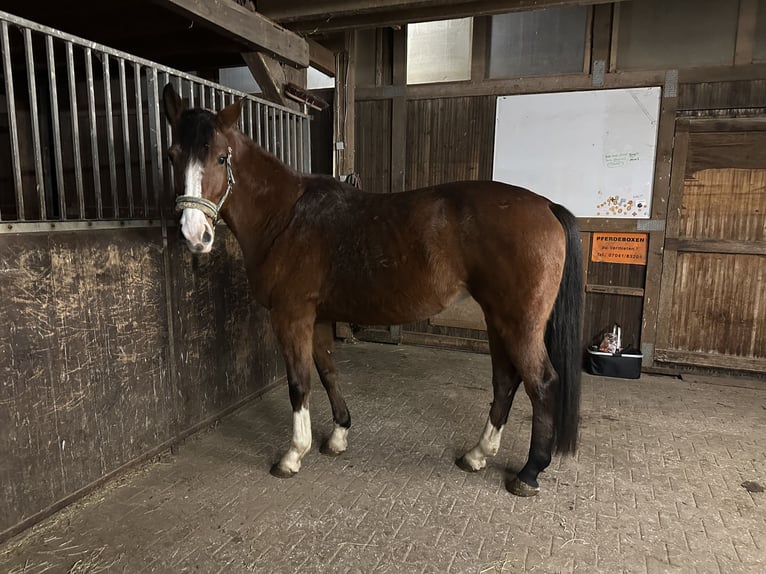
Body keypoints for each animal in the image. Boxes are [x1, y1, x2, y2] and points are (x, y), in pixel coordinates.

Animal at [162, 83, 584, 498]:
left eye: (221, 158)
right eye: (172, 155)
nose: (194, 236)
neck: (286, 218)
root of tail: (546, 205)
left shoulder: (291, 316)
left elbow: (299, 383)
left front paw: (293, 455)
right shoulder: (318, 317)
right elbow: (328, 372)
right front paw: (338, 435)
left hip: (519, 324)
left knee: (542, 383)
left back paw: (529, 472)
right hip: (497, 320)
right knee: (505, 381)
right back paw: (477, 455)